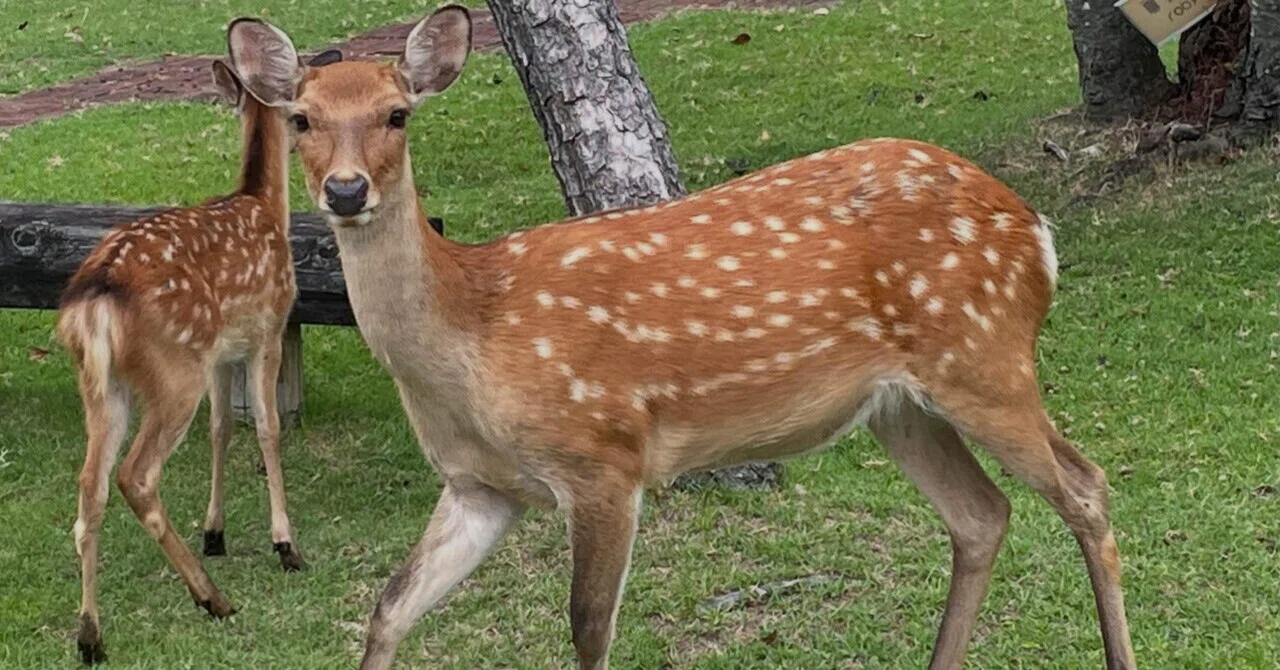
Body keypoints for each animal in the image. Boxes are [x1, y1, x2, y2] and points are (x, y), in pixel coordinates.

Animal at [53, 32, 329, 664]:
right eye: (300, 115)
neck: (265, 204)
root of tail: (95, 302)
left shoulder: (221, 354)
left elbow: (222, 428)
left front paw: (216, 532)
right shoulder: (267, 328)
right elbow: (266, 429)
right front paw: (285, 544)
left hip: (103, 384)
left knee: (89, 484)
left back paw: (91, 635)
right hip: (173, 369)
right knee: (135, 476)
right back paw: (212, 598)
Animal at [226, 6, 1136, 670]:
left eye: (397, 114)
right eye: (301, 118)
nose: (346, 191)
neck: (472, 334)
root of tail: (1035, 229)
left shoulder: (603, 455)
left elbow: (588, 628)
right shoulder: (479, 486)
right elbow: (389, 606)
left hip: (983, 354)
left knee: (1086, 486)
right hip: (898, 405)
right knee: (982, 514)